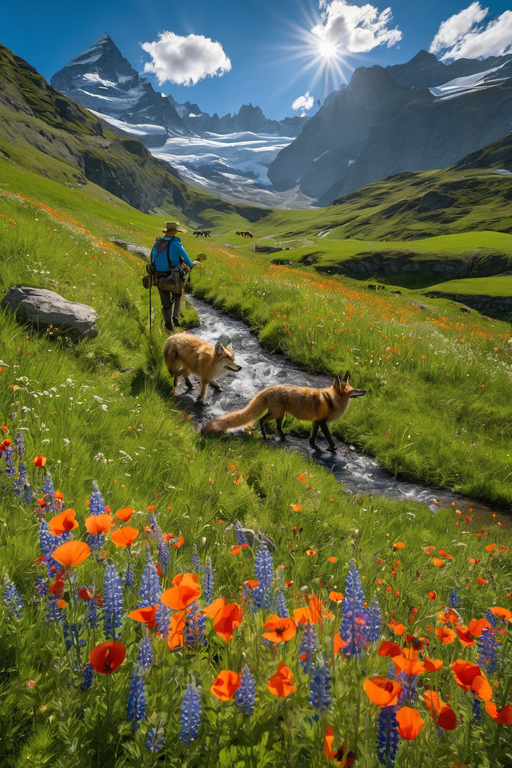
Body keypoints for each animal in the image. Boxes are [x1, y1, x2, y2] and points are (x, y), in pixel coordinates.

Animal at [201, 371, 366, 451]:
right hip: (276, 413)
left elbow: (313, 437)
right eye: (355, 390)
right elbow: (328, 437)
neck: (331, 400)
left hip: (280, 415)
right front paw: (333, 448)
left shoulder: (316, 421)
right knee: (261, 420)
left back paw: (283, 438)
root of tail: (267, 388)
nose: (365, 391)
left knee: (278, 427)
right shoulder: (322, 421)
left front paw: (313, 445)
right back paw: (265, 436)